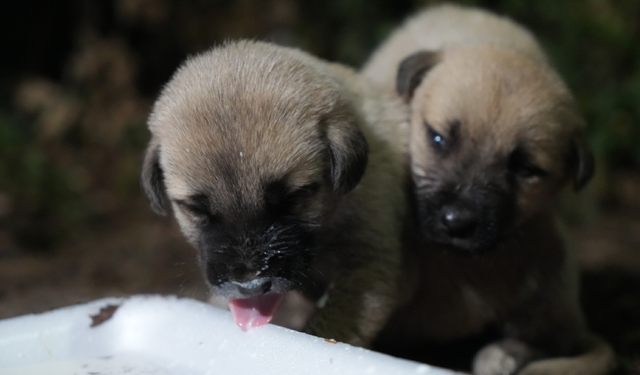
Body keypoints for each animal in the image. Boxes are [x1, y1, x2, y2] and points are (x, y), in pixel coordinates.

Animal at [362, 3, 616, 375]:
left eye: (525, 170)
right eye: (437, 138)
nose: (457, 224)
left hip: (549, 282)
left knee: (552, 341)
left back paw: (504, 354)